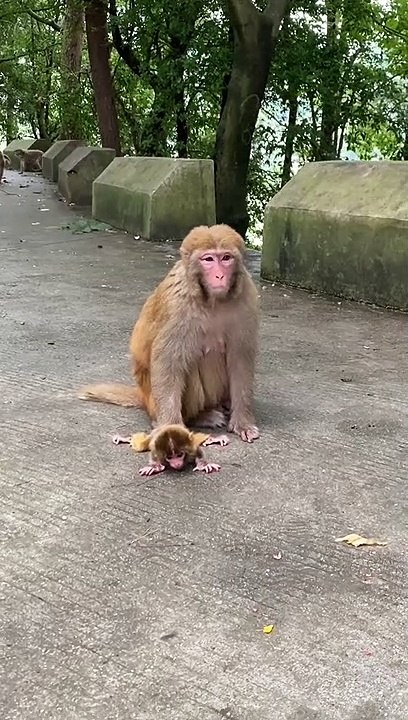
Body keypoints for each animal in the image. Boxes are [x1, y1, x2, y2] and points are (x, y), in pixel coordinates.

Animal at [79, 224, 260, 443]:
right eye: (208, 259)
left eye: (226, 258)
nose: (219, 276)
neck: (212, 300)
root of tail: (144, 397)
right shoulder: (178, 306)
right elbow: (168, 362)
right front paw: (171, 426)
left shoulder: (247, 297)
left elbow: (240, 359)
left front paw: (242, 421)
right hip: (154, 403)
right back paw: (201, 416)